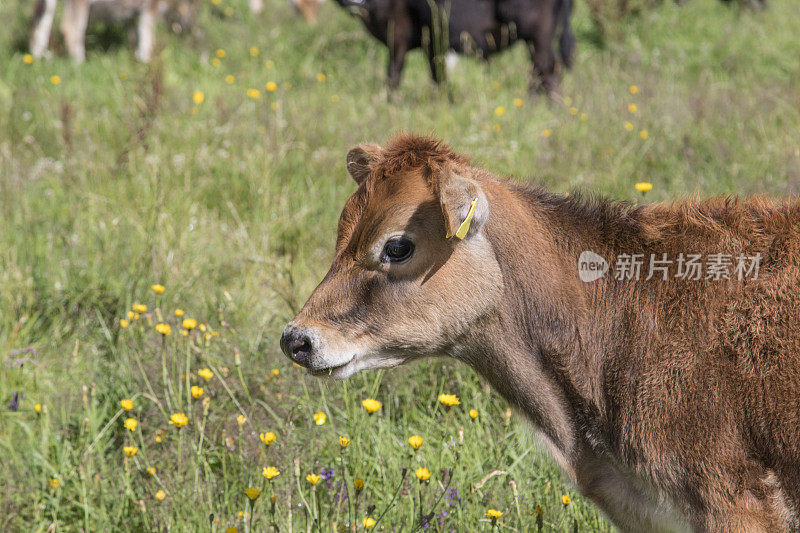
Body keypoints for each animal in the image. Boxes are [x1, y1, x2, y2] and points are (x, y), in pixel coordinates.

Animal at [334, 0, 572, 95]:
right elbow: (438, 76)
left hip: (537, 36)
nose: (354, 2)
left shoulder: (398, 35)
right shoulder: (433, 44)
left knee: (545, 69)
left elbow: (393, 75)